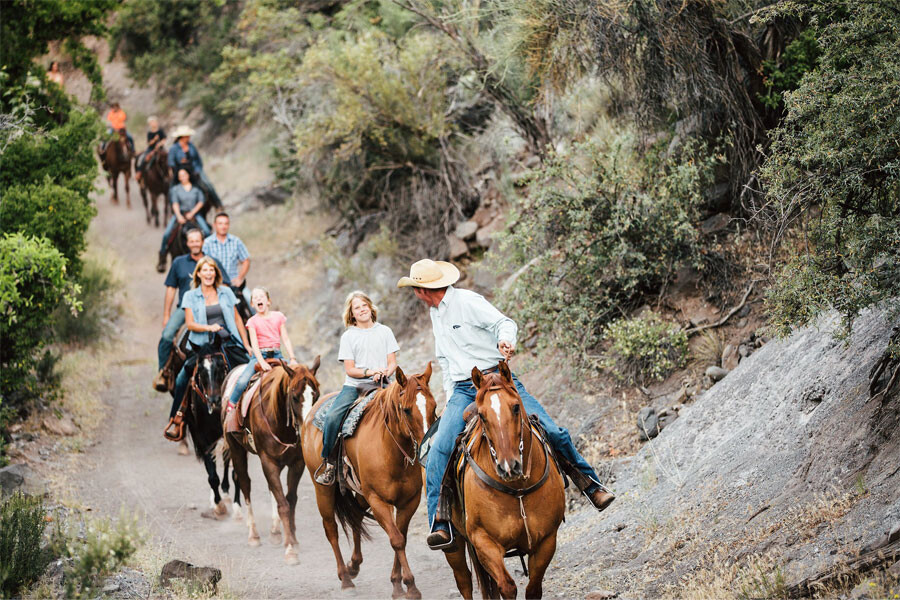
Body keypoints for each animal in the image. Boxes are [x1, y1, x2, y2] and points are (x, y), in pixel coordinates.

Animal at [223, 356, 322, 564]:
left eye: (316, 395)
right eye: (295, 397)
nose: (307, 428)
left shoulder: (297, 463)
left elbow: (290, 500)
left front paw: (292, 539)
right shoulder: (268, 461)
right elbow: (283, 504)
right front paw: (290, 549)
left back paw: (276, 532)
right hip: (237, 451)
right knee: (245, 484)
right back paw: (253, 534)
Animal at [302, 364, 440, 596]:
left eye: (434, 405)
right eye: (406, 410)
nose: (428, 447)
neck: (391, 452)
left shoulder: (408, 502)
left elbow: (401, 535)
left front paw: (397, 582)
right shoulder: (378, 501)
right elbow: (396, 539)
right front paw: (410, 586)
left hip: (360, 492)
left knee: (356, 518)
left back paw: (354, 565)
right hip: (323, 490)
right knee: (331, 529)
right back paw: (345, 578)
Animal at [442, 360, 564, 600]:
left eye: (516, 407)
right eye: (482, 416)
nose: (509, 466)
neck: (517, 489)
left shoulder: (546, 540)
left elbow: (533, 589)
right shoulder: (484, 541)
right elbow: (506, 586)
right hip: (456, 545)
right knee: (465, 582)